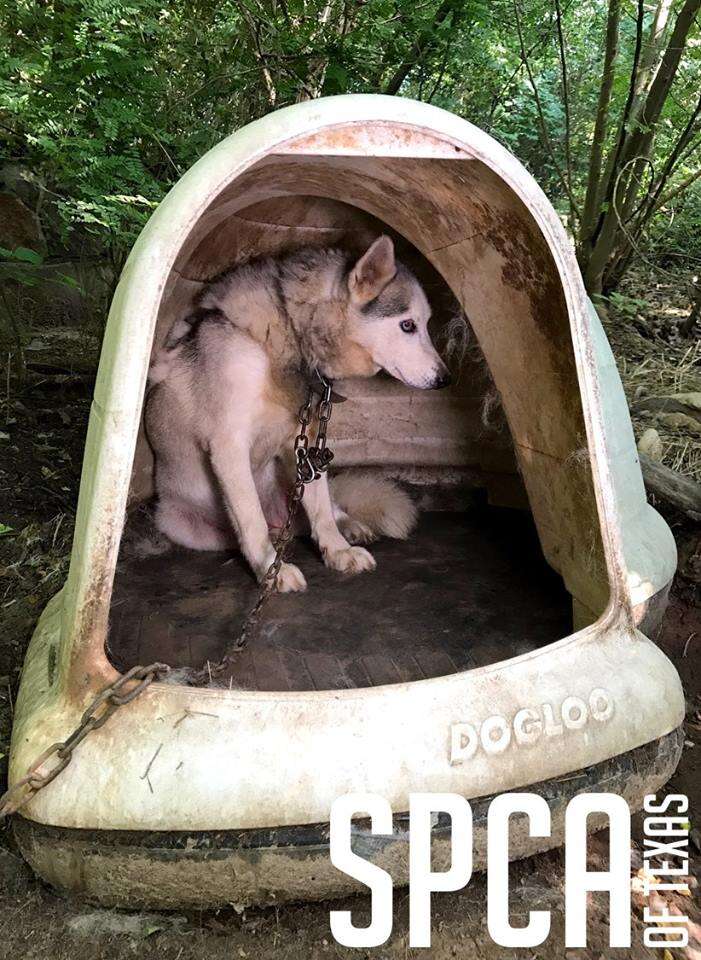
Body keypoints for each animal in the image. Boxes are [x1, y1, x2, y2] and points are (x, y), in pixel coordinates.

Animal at [146, 235, 452, 588]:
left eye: (426, 324)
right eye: (408, 325)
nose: (445, 379)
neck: (289, 338)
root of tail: (279, 515)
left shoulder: (307, 441)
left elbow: (321, 513)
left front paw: (338, 551)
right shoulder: (228, 446)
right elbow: (251, 520)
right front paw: (270, 569)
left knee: (323, 506)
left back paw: (347, 525)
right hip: (178, 521)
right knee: (261, 527)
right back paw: (277, 542)